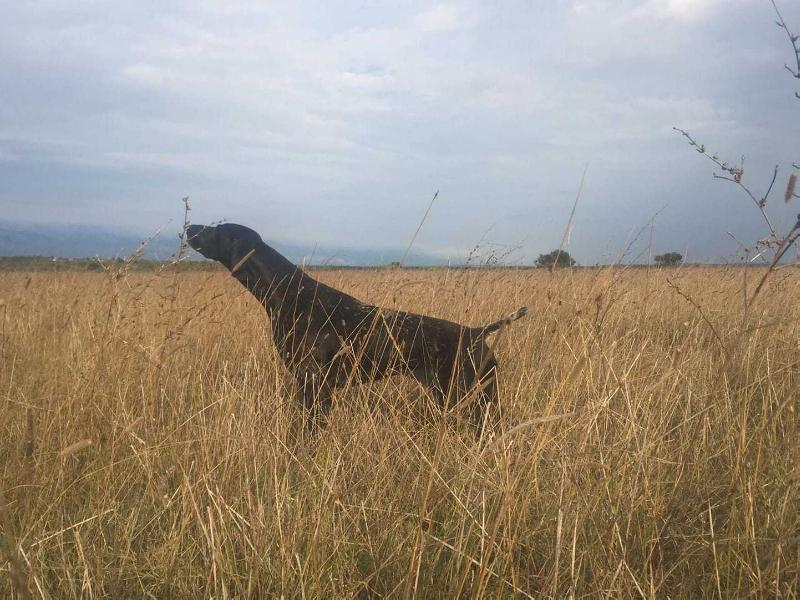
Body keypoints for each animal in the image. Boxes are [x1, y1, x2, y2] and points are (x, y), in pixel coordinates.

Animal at [185, 224, 528, 436]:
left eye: (216, 229)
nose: (191, 227)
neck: (288, 293)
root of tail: (476, 332)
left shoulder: (314, 385)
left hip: (472, 398)